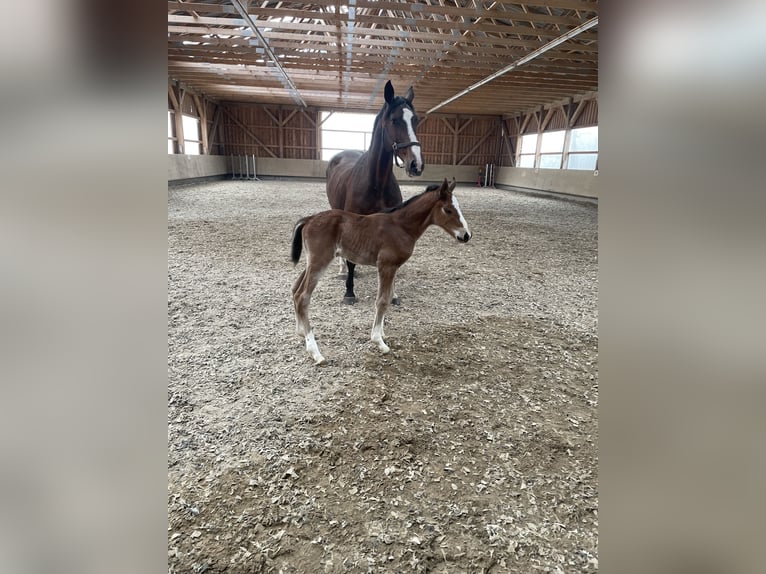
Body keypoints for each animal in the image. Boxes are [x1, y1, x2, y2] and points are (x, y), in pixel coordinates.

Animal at [291, 178, 471, 365]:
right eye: (448, 209)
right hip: (319, 262)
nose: (466, 235)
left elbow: (389, 296)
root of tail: (309, 219)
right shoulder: (386, 265)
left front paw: (382, 333)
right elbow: (382, 301)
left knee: (295, 290)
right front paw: (379, 341)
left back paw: (301, 332)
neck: (401, 226)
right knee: (303, 296)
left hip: (312, 262)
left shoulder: (393, 267)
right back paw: (315, 352)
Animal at [326, 80, 426, 305]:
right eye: (395, 120)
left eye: (415, 120)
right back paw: (342, 270)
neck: (376, 183)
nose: (416, 164)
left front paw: (393, 294)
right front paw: (349, 292)